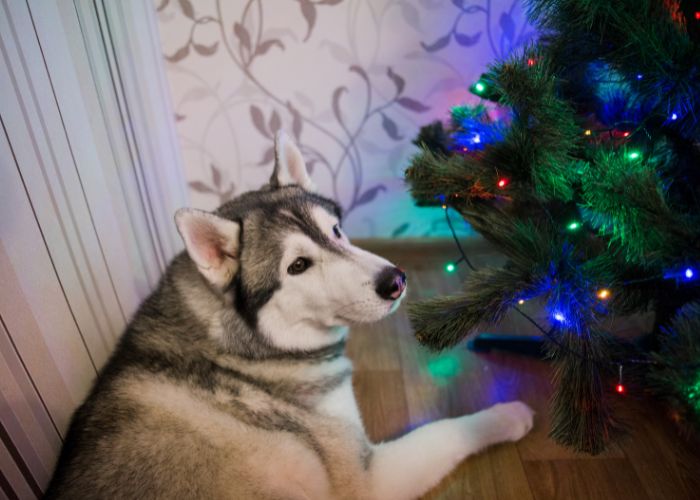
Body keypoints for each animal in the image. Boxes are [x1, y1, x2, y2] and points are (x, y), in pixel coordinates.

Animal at [43, 131, 532, 498]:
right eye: (297, 266)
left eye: (336, 231)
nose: (395, 280)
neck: (241, 354)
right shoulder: (367, 479)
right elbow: (445, 431)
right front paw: (505, 416)